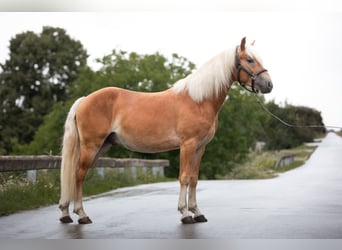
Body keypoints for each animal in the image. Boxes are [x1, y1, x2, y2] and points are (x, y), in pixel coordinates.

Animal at [58, 37, 272, 225]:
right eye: (250, 60)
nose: (269, 85)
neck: (198, 100)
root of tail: (84, 99)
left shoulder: (200, 148)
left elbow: (194, 179)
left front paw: (197, 212)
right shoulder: (187, 145)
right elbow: (184, 177)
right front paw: (185, 213)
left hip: (102, 146)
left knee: (75, 174)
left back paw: (66, 214)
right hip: (91, 146)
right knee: (79, 174)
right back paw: (82, 215)